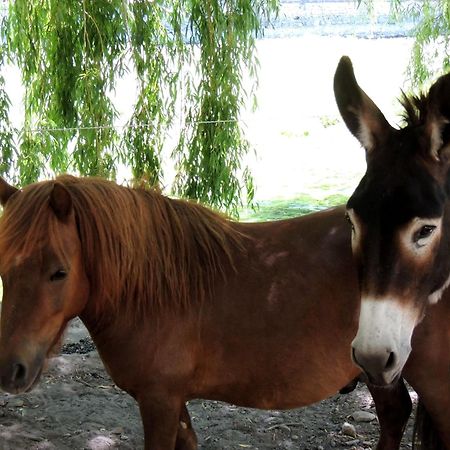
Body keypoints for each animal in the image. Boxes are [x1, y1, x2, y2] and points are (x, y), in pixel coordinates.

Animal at [0, 176, 442, 450]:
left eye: (59, 272)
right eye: (4, 266)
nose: (10, 369)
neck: (152, 289)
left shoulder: (158, 402)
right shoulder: (173, 400)